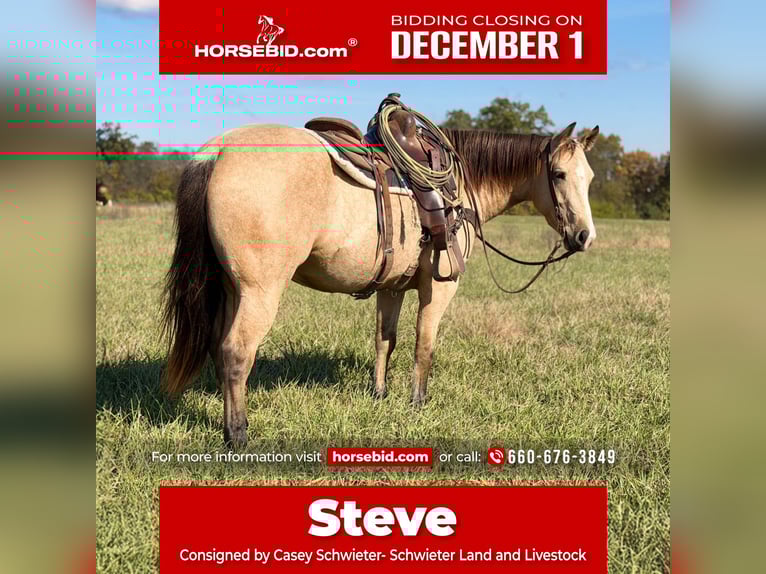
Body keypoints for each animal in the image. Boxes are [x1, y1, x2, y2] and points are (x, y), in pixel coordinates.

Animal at [161, 121, 600, 447]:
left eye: (590, 177)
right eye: (558, 174)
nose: (584, 236)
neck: (459, 185)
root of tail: (216, 151)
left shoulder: (392, 288)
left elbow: (384, 340)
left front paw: (380, 394)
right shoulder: (439, 288)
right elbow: (424, 344)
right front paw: (418, 403)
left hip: (228, 288)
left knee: (218, 348)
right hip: (259, 292)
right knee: (236, 353)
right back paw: (237, 435)